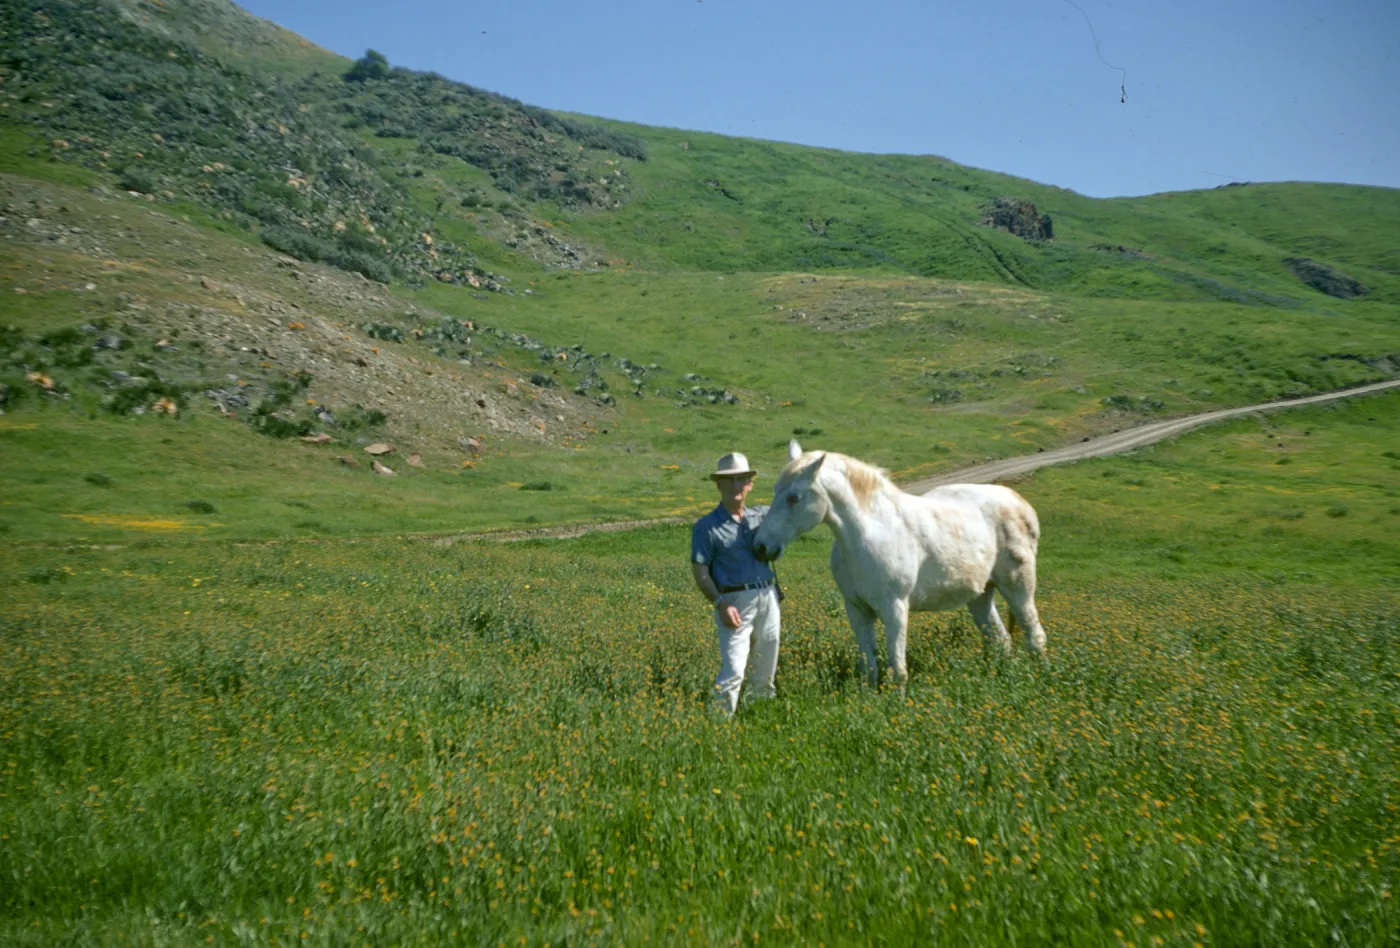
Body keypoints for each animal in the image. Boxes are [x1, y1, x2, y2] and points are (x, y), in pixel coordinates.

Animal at [753, 440, 1046, 689]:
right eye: (776, 491)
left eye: (794, 498)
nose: (761, 546)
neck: (871, 532)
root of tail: (1020, 503)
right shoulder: (857, 610)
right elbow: (869, 666)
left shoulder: (894, 608)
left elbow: (898, 668)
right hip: (980, 595)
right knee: (1000, 639)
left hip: (1018, 588)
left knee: (1035, 635)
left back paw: (1040, 678)